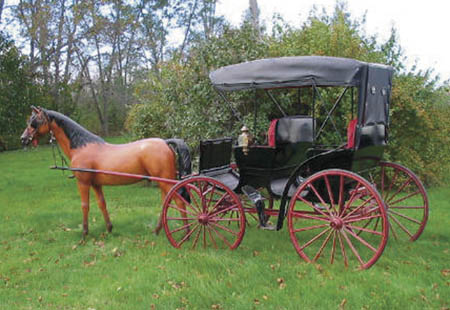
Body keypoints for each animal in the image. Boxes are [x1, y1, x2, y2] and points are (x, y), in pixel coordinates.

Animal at [20, 106, 190, 237]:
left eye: (34, 122)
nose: (23, 139)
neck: (82, 146)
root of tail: (165, 142)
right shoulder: (96, 184)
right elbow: (102, 204)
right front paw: (109, 228)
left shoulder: (83, 183)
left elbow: (85, 205)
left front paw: (84, 233)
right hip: (163, 182)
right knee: (166, 203)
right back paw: (157, 230)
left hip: (165, 182)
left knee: (179, 201)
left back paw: (186, 233)